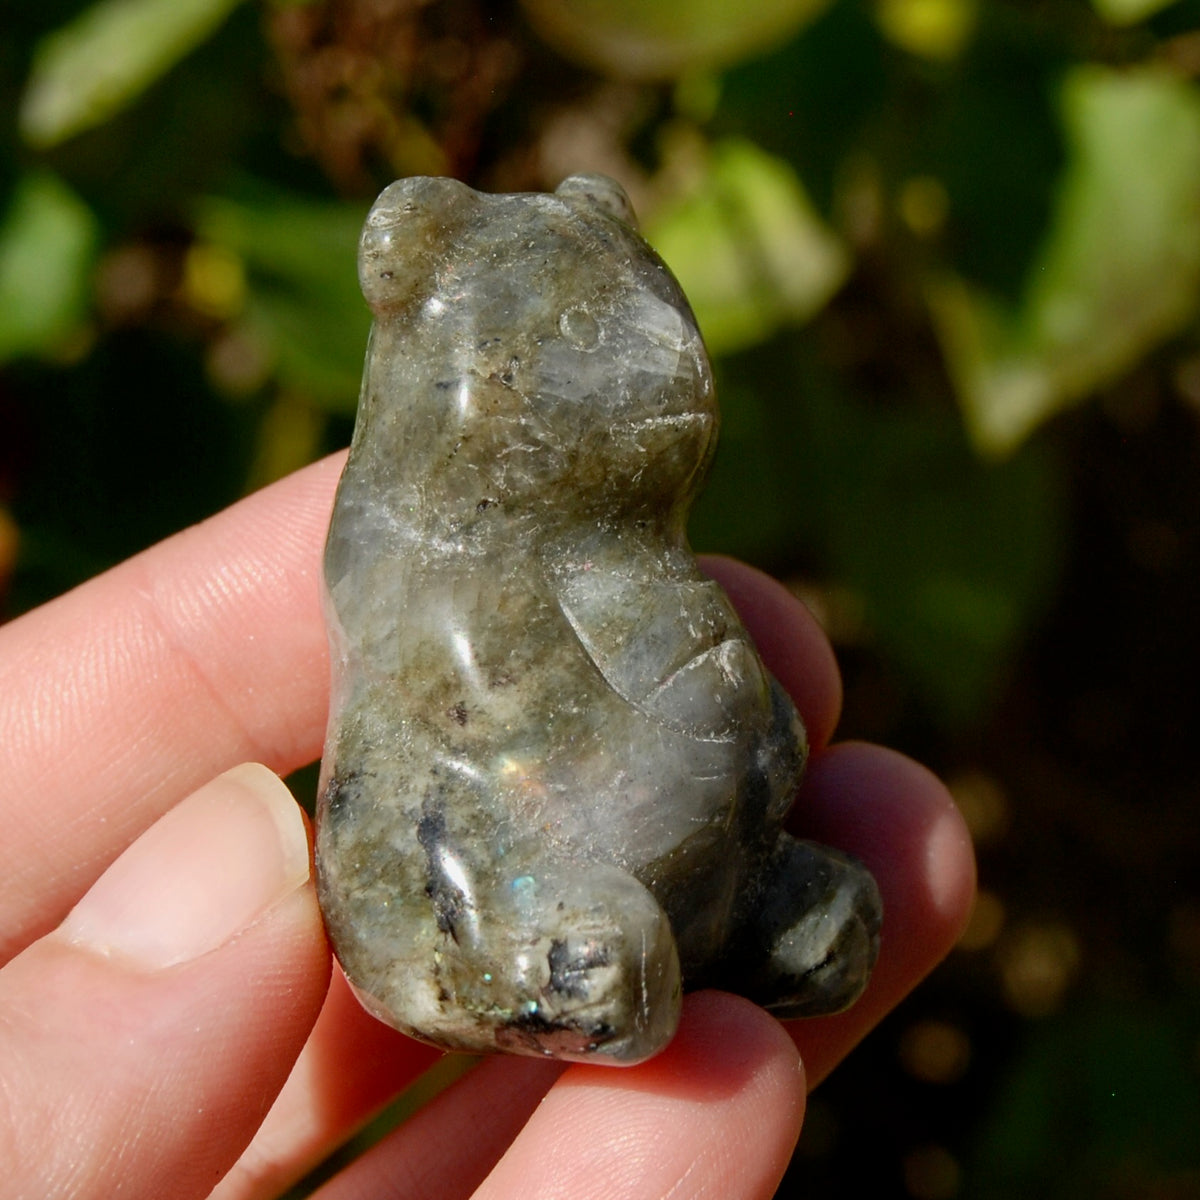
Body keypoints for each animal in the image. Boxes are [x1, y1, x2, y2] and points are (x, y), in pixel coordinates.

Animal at [315, 173, 882, 1065]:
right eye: (578, 324)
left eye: (678, 304)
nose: (687, 374)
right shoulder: (411, 583)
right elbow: (487, 669)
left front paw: (768, 723)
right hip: (433, 848)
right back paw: (597, 972)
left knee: (781, 899)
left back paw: (826, 926)